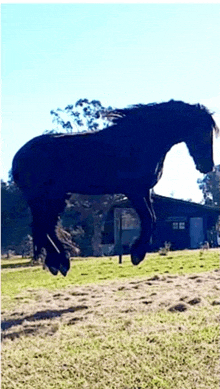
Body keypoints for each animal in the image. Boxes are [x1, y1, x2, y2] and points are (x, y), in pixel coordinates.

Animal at [12, 100, 218, 276]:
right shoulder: (135, 191)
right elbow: (148, 219)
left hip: (56, 198)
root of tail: (18, 157)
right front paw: (137, 254)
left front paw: (138, 252)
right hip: (43, 199)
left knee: (48, 228)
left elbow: (151, 219)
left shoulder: (143, 191)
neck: (141, 141)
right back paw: (59, 263)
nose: (207, 166)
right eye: (203, 132)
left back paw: (60, 262)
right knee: (43, 228)